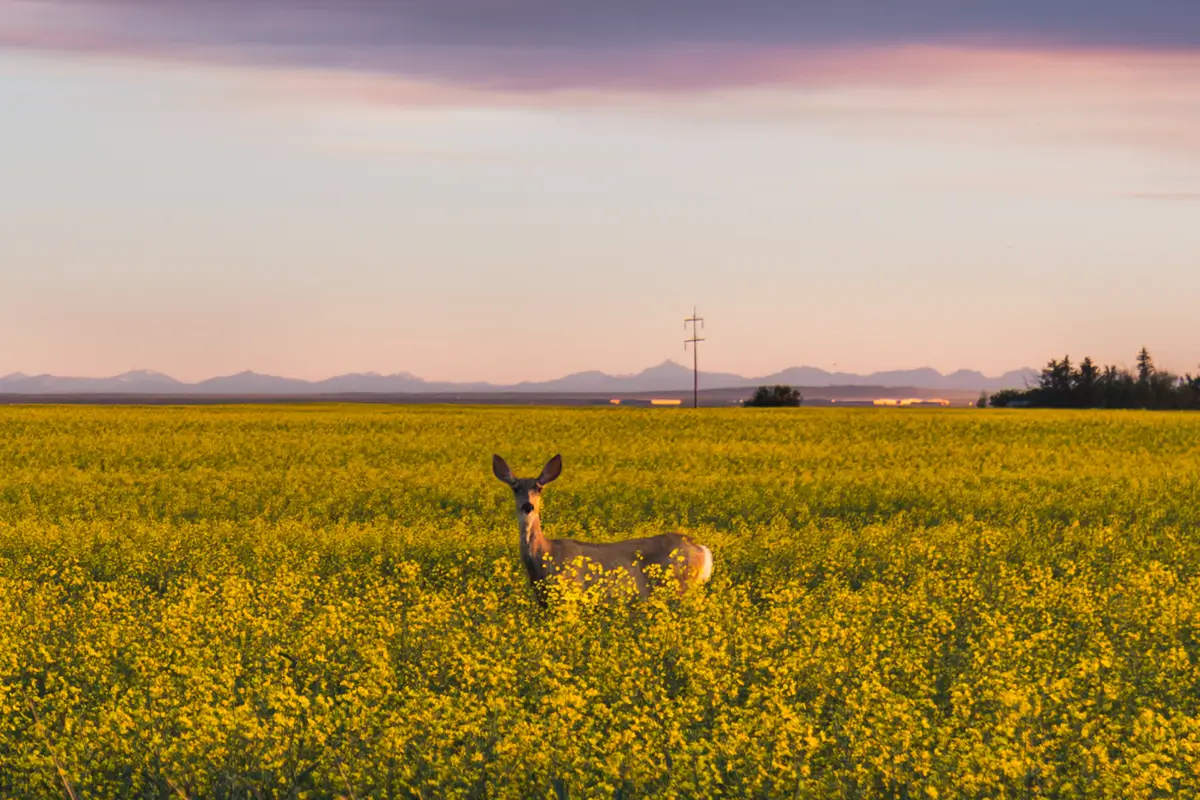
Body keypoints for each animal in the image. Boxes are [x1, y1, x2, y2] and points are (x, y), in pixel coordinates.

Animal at [492, 453, 714, 606]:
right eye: (515, 488)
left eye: (539, 488)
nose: (527, 506)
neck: (544, 556)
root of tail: (702, 550)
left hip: (681, 587)